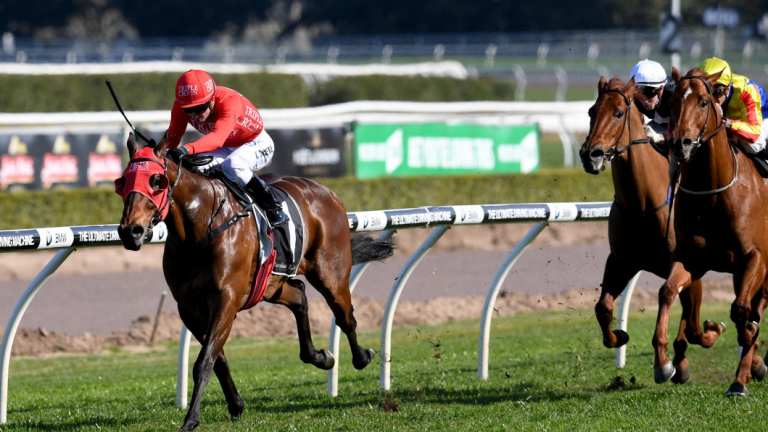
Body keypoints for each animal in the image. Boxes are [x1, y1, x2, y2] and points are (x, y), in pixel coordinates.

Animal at [116, 133, 392, 430]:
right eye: (122, 181)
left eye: (156, 180)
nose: (130, 231)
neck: (200, 228)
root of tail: (326, 192)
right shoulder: (189, 307)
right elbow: (217, 358)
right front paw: (235, 405)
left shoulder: (227, 298)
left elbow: (204, 361)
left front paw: (190, 420)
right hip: (270, 285)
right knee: (299, 295)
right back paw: (320, 356)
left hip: (330, 272)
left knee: (345, 316)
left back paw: (362, 356)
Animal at [580, 75, 724, 384]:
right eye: (591, 112)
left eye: (618, 113)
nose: (590, 155)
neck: (643, 203)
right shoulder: (621, 260)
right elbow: (603, 306)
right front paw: (618, 336)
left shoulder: (688, 265)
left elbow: (685, 316)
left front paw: (667, 362)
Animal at [660, 66, 768, 394]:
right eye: (672, 103)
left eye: (703, 102)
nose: (680, 143)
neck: (713, 192)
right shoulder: (693, 259)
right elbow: (668, 292)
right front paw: (665, 363)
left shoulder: (755, 258)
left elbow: (742, 312)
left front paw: (742, 374)